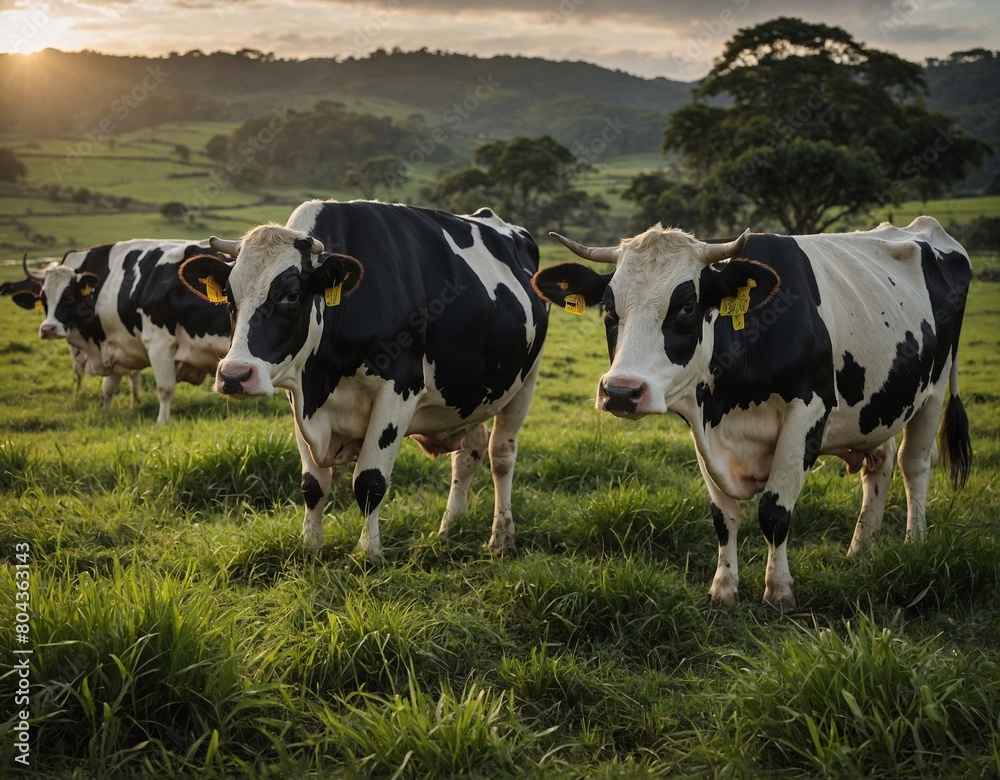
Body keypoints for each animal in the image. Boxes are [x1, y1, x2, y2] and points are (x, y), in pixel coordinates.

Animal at [16, 239, 232, 424]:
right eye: (43, 299)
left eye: (68, 297)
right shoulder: (117, 347)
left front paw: (162, 423)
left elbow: (164, 388)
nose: (48, 329)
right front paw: (105, 413)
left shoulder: (159, 343)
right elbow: (108, 389)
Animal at [178, 198, 548, 556]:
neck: (323, 378)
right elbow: (313, 485)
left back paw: (501, 537)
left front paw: (369, 552)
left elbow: (370, 481)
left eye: (291, 295)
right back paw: (449, 528)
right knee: (467, 454)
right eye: (229, 297)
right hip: (469, 394)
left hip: (525, 382)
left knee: (501, 455)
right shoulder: (299, 397)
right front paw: (310, 547)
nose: (234, 375)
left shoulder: (399, 389)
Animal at [536, 216, 972, 612]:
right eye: (609, 310)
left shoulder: (807, 411)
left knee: (913, 464)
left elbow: (774, 511)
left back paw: (914, 543)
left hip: (933, 389)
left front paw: (779, 591)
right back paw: (860, 550)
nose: (621, 391)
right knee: (879, 464)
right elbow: (723, 515)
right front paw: (724, 588)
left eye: (688, 306)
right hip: (878, 406)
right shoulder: (702, 426)